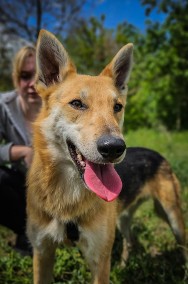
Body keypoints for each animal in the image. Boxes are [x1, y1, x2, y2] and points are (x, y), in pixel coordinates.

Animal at [26, 29, 134, 284]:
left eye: (117, 107)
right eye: (77, 104)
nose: (114, 148)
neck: (67, 198)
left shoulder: (100, 260)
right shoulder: (42, 253)